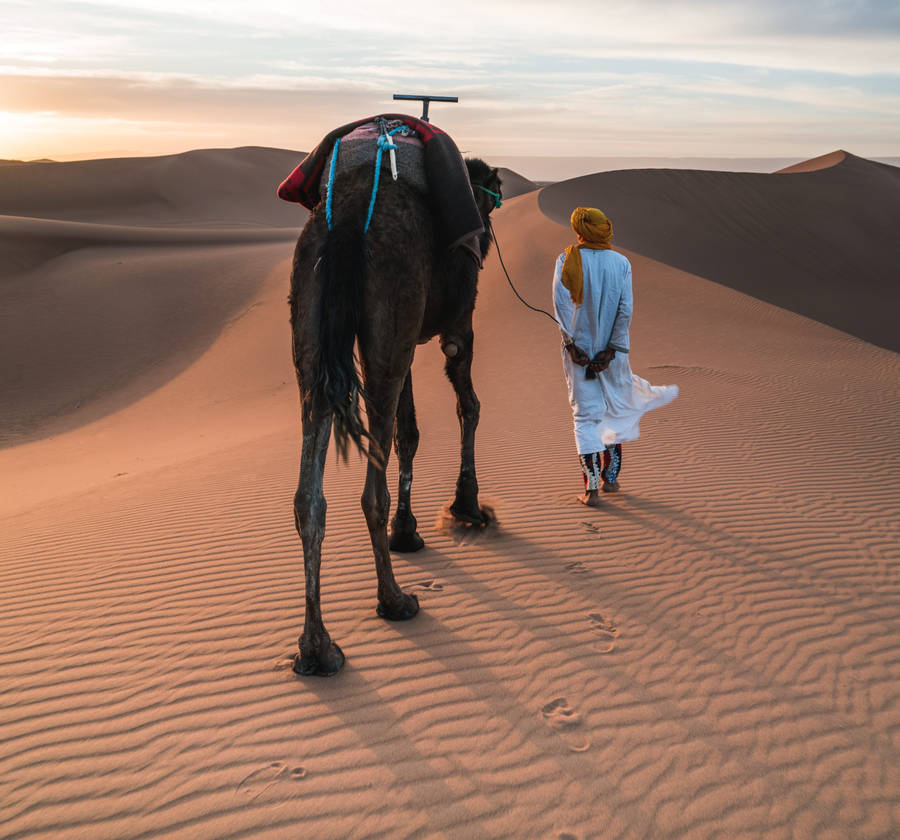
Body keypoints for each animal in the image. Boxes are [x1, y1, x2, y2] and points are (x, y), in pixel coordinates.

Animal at [288, 151, 502, 676]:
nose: (486, 236)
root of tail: (346, 220)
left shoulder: (406, 343)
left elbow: (410, 433)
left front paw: (408, 531)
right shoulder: (458, 326)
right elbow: (469, 406)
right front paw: (467, 505)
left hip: (314, 324)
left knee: (309, 496)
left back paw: (317, 648)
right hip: (393, 307)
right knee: (371, 490)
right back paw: (394, 600)